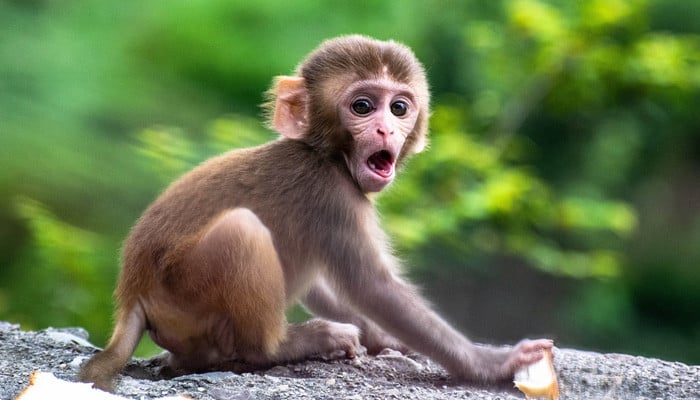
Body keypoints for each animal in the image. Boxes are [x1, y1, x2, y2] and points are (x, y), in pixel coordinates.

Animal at [79, 35, 552, 392]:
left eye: (399, 107)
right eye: (362, 107)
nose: (386, 129)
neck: (326, 154)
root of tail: (133, 295)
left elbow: (330, 284)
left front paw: (381, 337)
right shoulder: (331, 195)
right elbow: (371, 286)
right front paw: (491, 363)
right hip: (184, 292)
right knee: (242, 230)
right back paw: (286, 346)